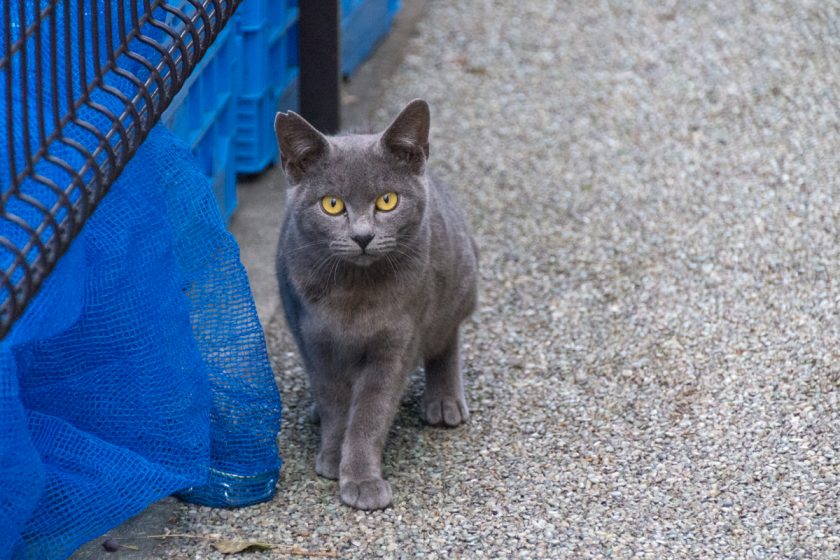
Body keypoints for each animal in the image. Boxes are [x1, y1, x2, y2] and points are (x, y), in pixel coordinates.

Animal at [272, 98, 476, 510]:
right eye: (332, 205)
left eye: (387, 200)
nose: (363, 236)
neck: (356, 295)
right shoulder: (317, 343)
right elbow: (335, 402)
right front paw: (333, 456)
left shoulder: (396, 344)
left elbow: (370, 411)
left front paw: (362, 480)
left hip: (459, 281)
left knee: (446, 339)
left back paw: (444, 401)